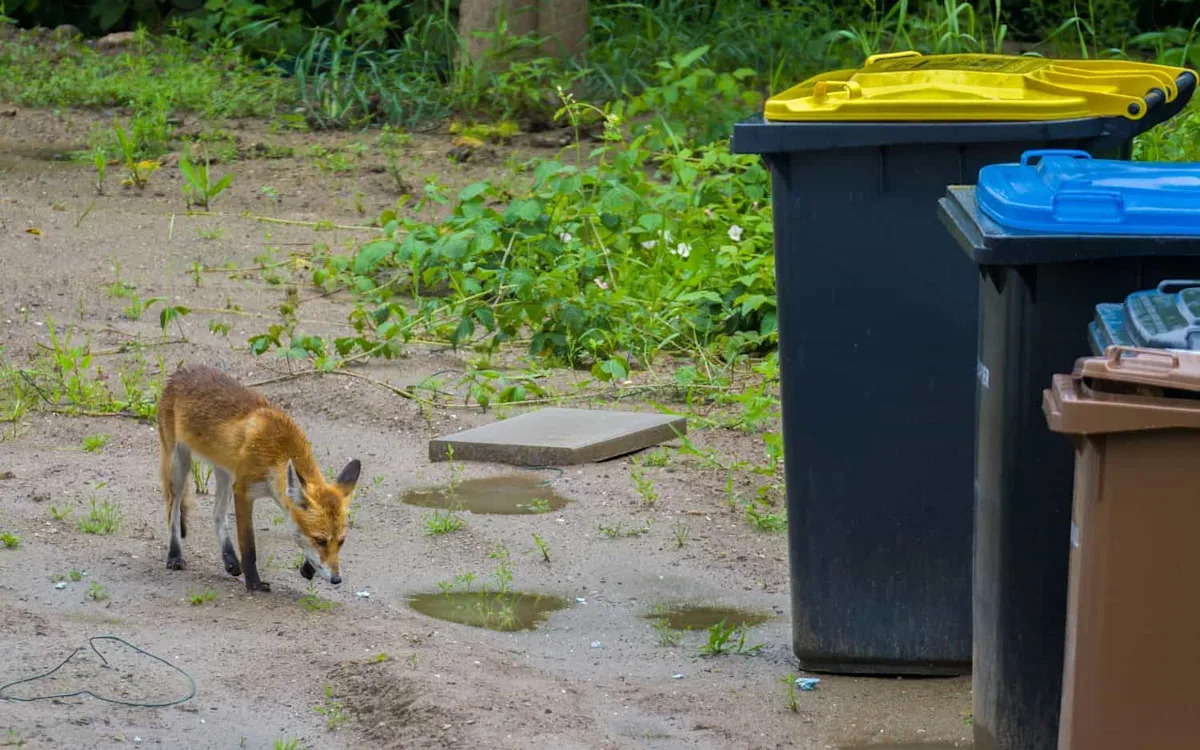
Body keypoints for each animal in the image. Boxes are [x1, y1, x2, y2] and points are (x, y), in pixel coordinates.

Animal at [156, 363, 361, 592]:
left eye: (341, 541)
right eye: (321, 540)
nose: (336, 579)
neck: (276, 450)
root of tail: (183, 371)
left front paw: (308, 568)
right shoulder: (243, 491)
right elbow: (249, 546)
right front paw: (254, 583)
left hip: (224, 472)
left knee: (217, 515)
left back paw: (229, 560)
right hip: (179, 467)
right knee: (173, 513)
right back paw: (174, 556)